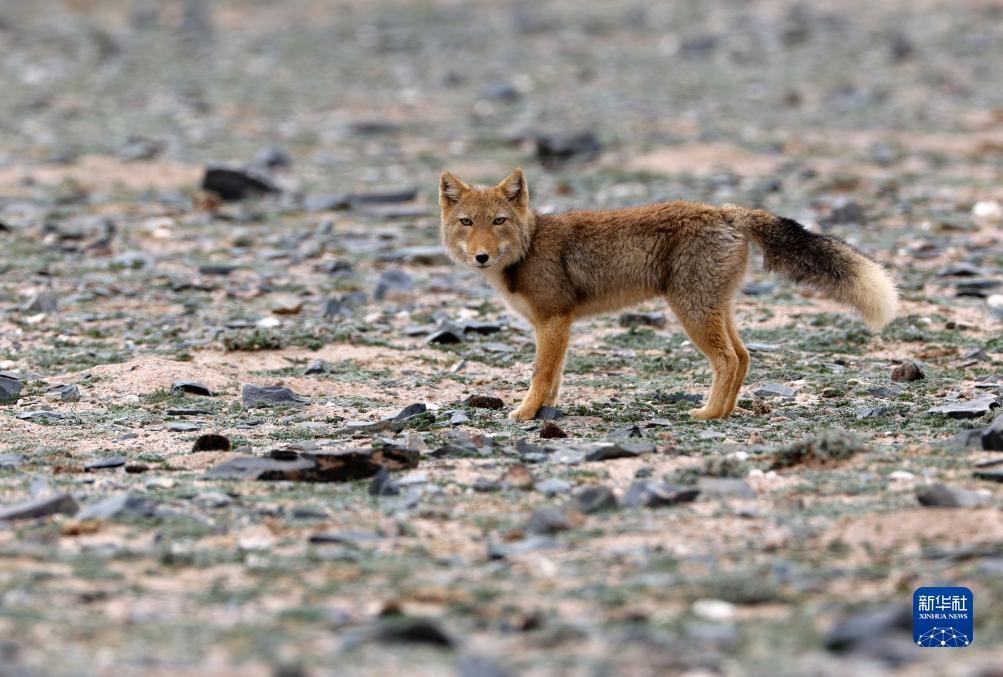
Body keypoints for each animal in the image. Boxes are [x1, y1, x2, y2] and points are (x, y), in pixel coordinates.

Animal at [439, 168, 902, 421]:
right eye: (467, 222)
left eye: (499, 221)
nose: (481, 256)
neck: (529, 245)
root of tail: (725, 211)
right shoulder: (557, 325)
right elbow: (553, 377)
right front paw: (543, 413)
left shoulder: (553, 320)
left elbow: (540, 375)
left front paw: (524, 413)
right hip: (713, 307)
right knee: (744, 356)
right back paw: (725, 411)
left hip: (691, 312)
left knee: (728, 359)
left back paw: (709, 414)